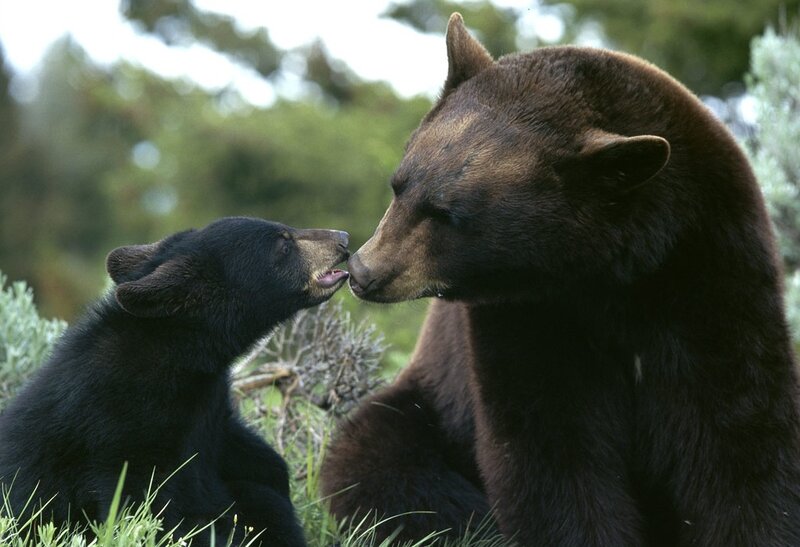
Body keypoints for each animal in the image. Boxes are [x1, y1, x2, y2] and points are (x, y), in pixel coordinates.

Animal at [0, 216, 350, 547]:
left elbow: (258, 468)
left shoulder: (209, 413)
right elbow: (149, 511)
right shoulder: (115, 433)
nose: (343, 238)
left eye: (284, 230)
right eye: (283, 243)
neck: (181, 359)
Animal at [319, 13, 800, 547]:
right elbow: (551, 450)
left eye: (449, 215)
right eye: (399, 185)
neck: (611, 273)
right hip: (427, 407)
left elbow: (736, 437)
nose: (364, 271)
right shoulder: (529, 316)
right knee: (384, 465)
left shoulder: (712, 271)